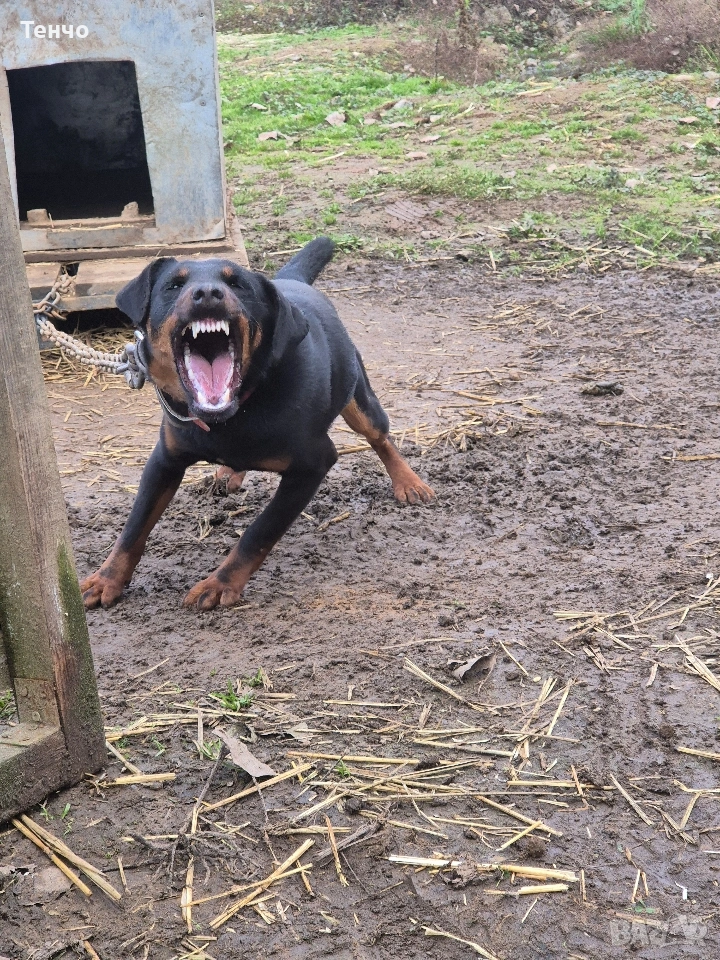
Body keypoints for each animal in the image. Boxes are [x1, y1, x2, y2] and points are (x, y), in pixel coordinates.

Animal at [80, 238, 434, 611]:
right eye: (173, 285)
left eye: (238, 284)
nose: (207, 293)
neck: (234, 413)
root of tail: (292, 281)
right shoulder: (165, 460)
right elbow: (133, 527)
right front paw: (107, 579)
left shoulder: (313, 464)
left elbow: (258, 533)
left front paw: (219, 583)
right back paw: (228, 473)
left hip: (359, 399)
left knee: (380, 437)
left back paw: (408, 482)